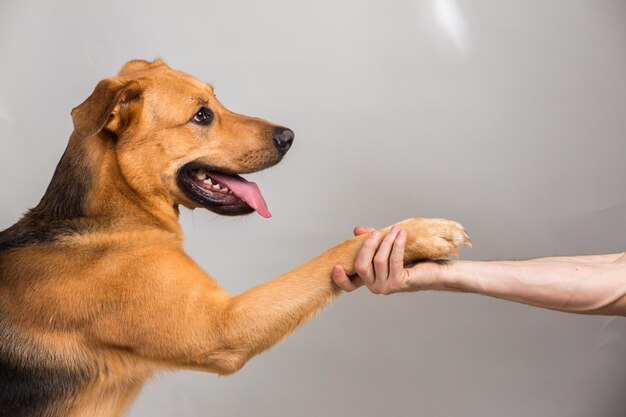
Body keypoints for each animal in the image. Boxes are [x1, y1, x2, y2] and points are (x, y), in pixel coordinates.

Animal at [0, 59, 468, 416]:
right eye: (201, 115)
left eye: (217, 100)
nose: (288, 137)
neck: (110, 217)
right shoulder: (223, 328)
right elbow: (328, 254)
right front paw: (422, 231)